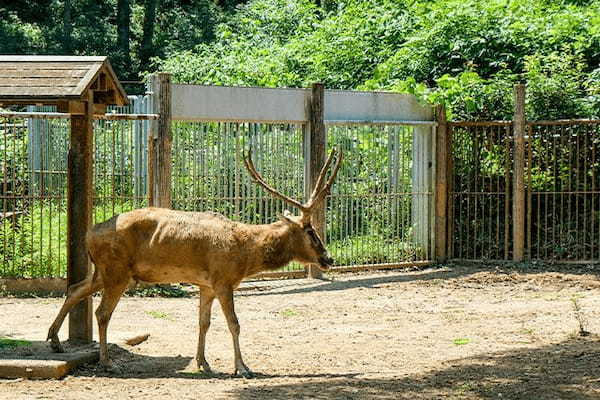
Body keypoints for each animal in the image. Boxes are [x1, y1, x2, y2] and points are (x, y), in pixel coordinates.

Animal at [45, 148, 342, 376]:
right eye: (311, 231)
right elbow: (234, 323)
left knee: (75, 289)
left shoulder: (206, 285)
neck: (245, 253)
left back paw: (55, 341)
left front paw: (203, 363)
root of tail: (89, 235)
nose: (328, 258)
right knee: (101, 313)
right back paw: (108, 363)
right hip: (116, 272)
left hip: (104, 272)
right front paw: (243, 368)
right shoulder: (223, 280)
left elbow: (204, 322)